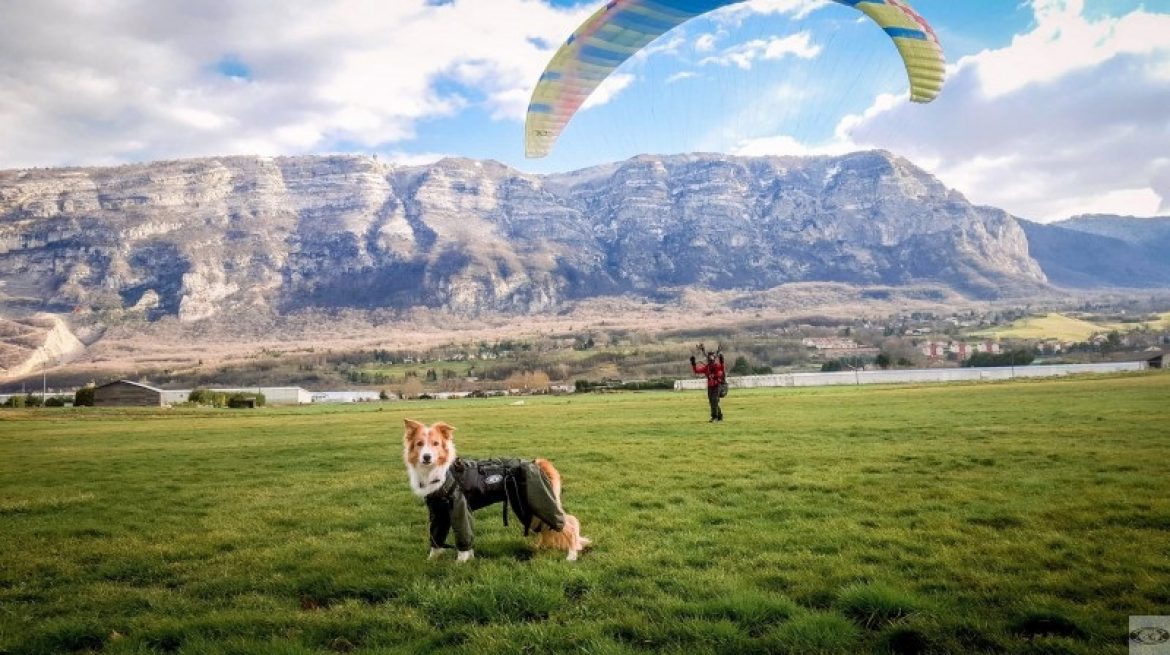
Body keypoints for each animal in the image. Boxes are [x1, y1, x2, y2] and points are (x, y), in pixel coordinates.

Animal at [404, 418, 594, 563]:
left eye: (436, 444)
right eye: (419, 444)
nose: (426, 457)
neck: (441, 470)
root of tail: (538, 462)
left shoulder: (459, 506)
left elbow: (463, 536)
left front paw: (461, 563)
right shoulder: (438, 511)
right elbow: (436, 538)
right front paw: (431, 561)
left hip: (540, 504)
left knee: (570, 523)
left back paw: (572, 555)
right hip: (529, 510)